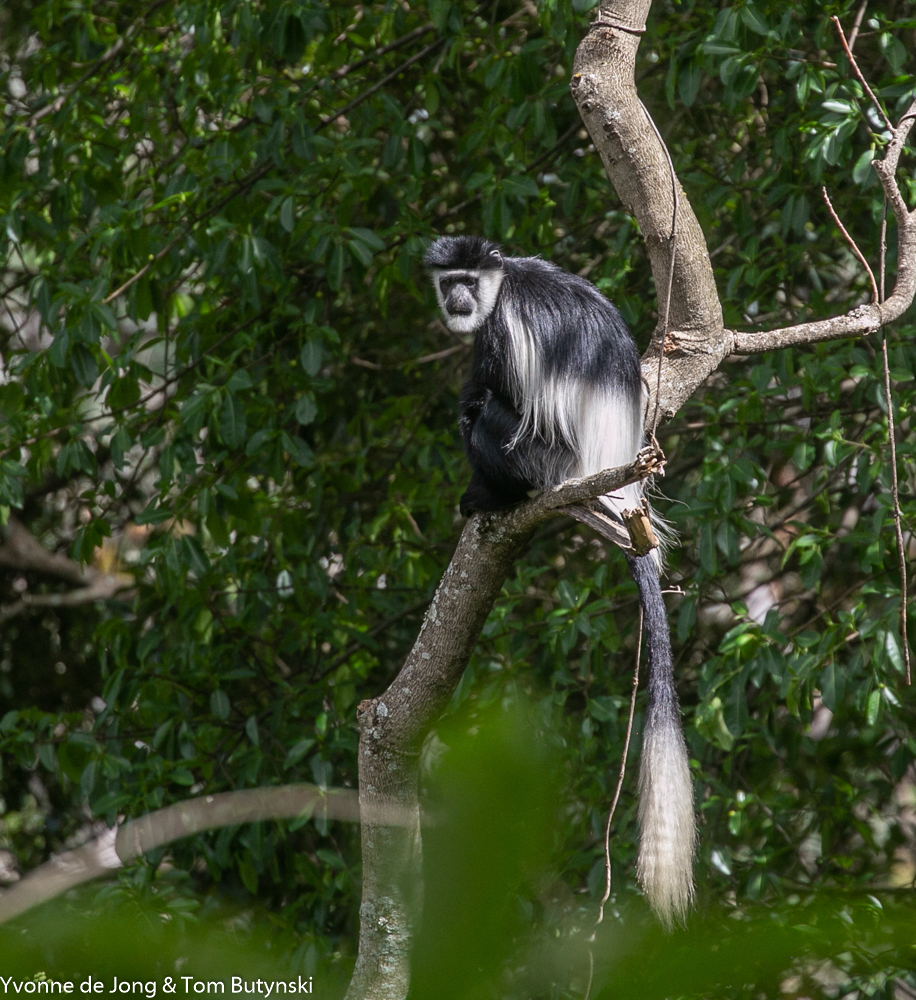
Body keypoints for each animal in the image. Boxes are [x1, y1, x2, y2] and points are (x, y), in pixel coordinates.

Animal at [428, 234, 696, 928]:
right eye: (448, 281)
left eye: (469, 281)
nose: (458, 299)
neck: (504, 282)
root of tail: (616, 493)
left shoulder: (500, 330)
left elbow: (487, 393)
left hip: (545, 456)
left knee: (487, 417)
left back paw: (494, 496)